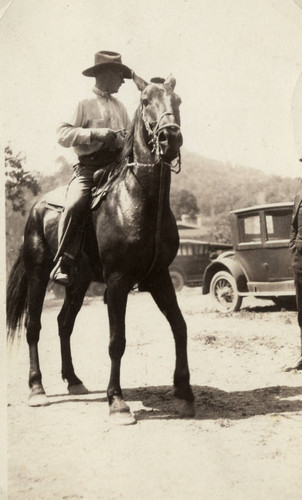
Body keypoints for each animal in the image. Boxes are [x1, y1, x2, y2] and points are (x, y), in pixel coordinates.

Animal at [7, 73, 196, 426]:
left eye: (177, 101)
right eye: (146, 101)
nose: (170, 138)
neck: (139, 200)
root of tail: (36, 207)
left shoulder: (160, 277)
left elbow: (179, 326)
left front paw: (184, 393)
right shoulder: (118, 281)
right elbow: (116, 341)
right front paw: (117, 402)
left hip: (78, 282)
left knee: (64, 323)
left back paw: (73, 380)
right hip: (39, 275)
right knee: (34, 326)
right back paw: (37, 389)